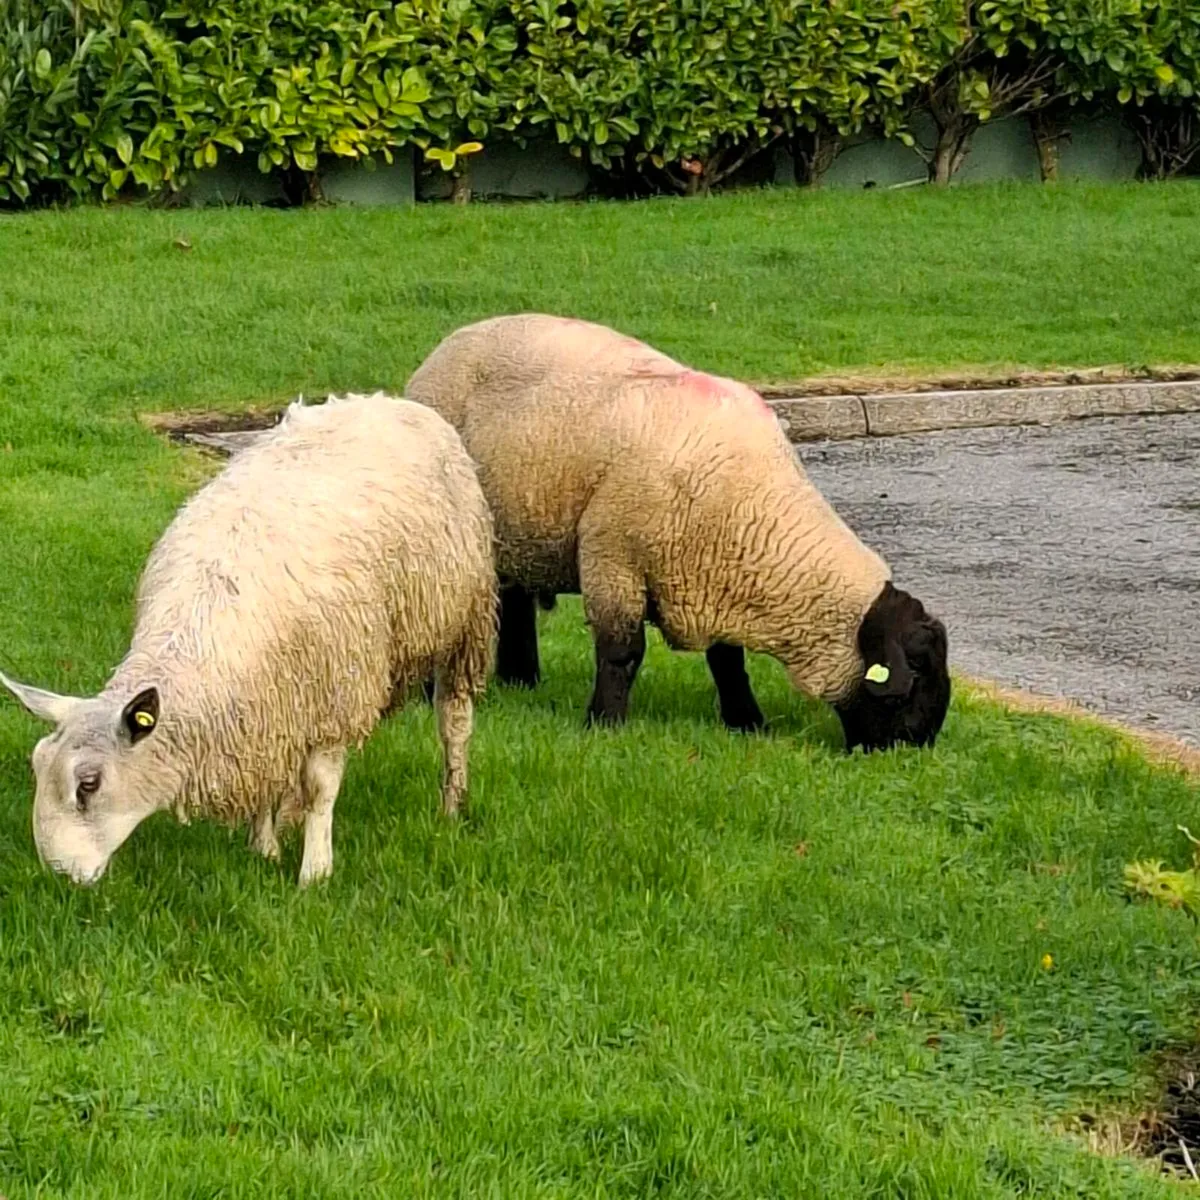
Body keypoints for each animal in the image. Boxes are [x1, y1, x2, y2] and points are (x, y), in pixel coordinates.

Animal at [1, 392, 495, 886]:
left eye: (89, 784)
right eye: (37, 765)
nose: (59, 875)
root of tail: (389, 400)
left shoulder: (333, 696)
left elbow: (321, 788)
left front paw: (315, 872)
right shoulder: (264, 705)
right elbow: (270, 774)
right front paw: (266, 846)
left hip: (464, 621)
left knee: (454, 718)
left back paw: (452, 803)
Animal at [406, 314, 949, 752]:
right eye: (916, 669)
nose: (913, 748)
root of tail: (448, 344)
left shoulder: (716, 571)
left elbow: (728, 661)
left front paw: (747, 723)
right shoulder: (614, 559)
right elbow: (622, 652)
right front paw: (604, 725)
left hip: (520, 522)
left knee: (515, 597)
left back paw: (521, 681)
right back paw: (436, 694)